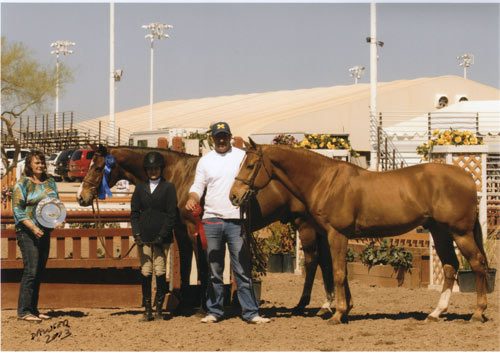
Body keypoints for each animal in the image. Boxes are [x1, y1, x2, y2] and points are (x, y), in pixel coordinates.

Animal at [76, 144, 336, 312]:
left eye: (98, 168)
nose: (81, 197)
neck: (179, 175)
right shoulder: (180, 231)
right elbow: (184, 267)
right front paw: (181, 303)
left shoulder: (194, 228)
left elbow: (201, 267)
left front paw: (202, 304)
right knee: (325, 260)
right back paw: (327, 303)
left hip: (305, 224)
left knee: (313, 260)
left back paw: (303, 305)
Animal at [230, 139, 488, 324]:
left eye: (250, 165)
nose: (234, 195)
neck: (325, 181)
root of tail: (467, 177)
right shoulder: (332, 235)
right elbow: (339, 271)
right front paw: (343, 310)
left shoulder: (337, 234)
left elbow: (337, 272)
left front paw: (337, 314)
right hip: (440, 232)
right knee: (449, 266)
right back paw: (436, 312)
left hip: (460, 233)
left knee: (476, 263)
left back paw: (477, 312)